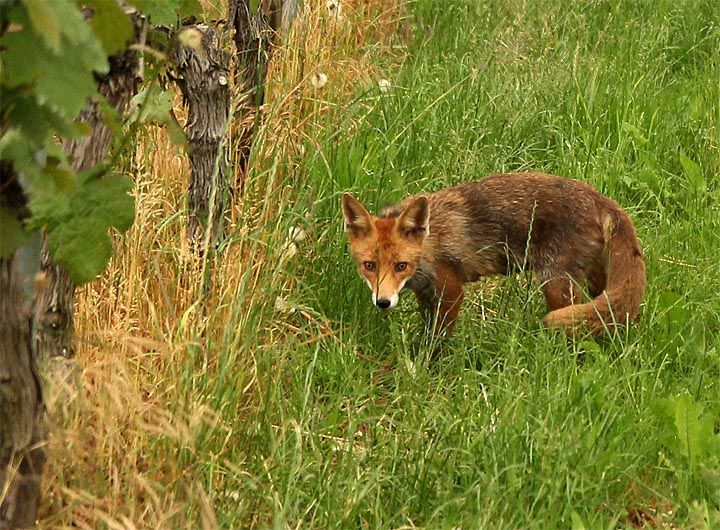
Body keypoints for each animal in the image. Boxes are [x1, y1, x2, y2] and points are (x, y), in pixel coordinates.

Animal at [342, 172, 646, 336]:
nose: (383, 302)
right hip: (595, 281)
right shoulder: (425, 294)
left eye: (400, 265)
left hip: (555, 284)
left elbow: (437, 339)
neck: (429, 244)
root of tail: (599, 197)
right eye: (369, 265)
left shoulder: (450, 290)